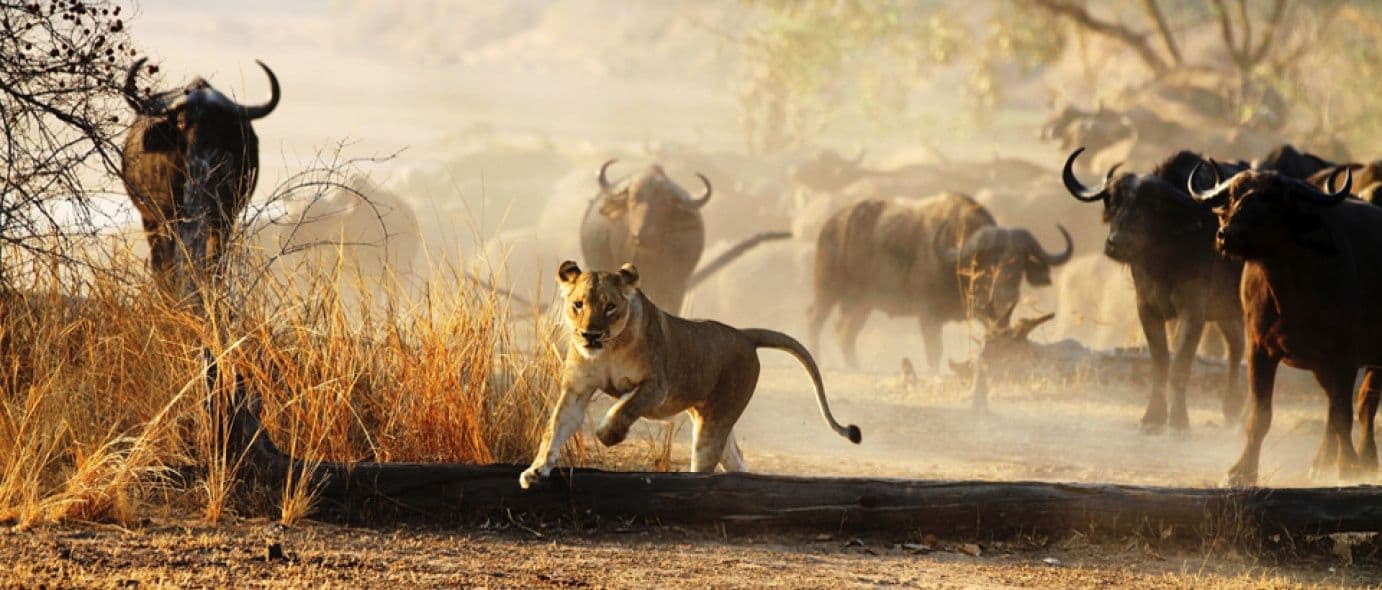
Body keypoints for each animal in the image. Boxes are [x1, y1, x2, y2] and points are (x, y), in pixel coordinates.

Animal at [518, 260, 861, 489]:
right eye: (578, 305)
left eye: (610, 307)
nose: (589, 334)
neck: (608, 349)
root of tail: (743, 334)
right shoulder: (576, 389)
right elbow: (555, 428)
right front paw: (536, 470)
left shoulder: (657, 386)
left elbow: (624, 408)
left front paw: (607, 434)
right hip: (711, 417)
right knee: (735, 457)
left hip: (713, 423)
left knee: (706, 463)